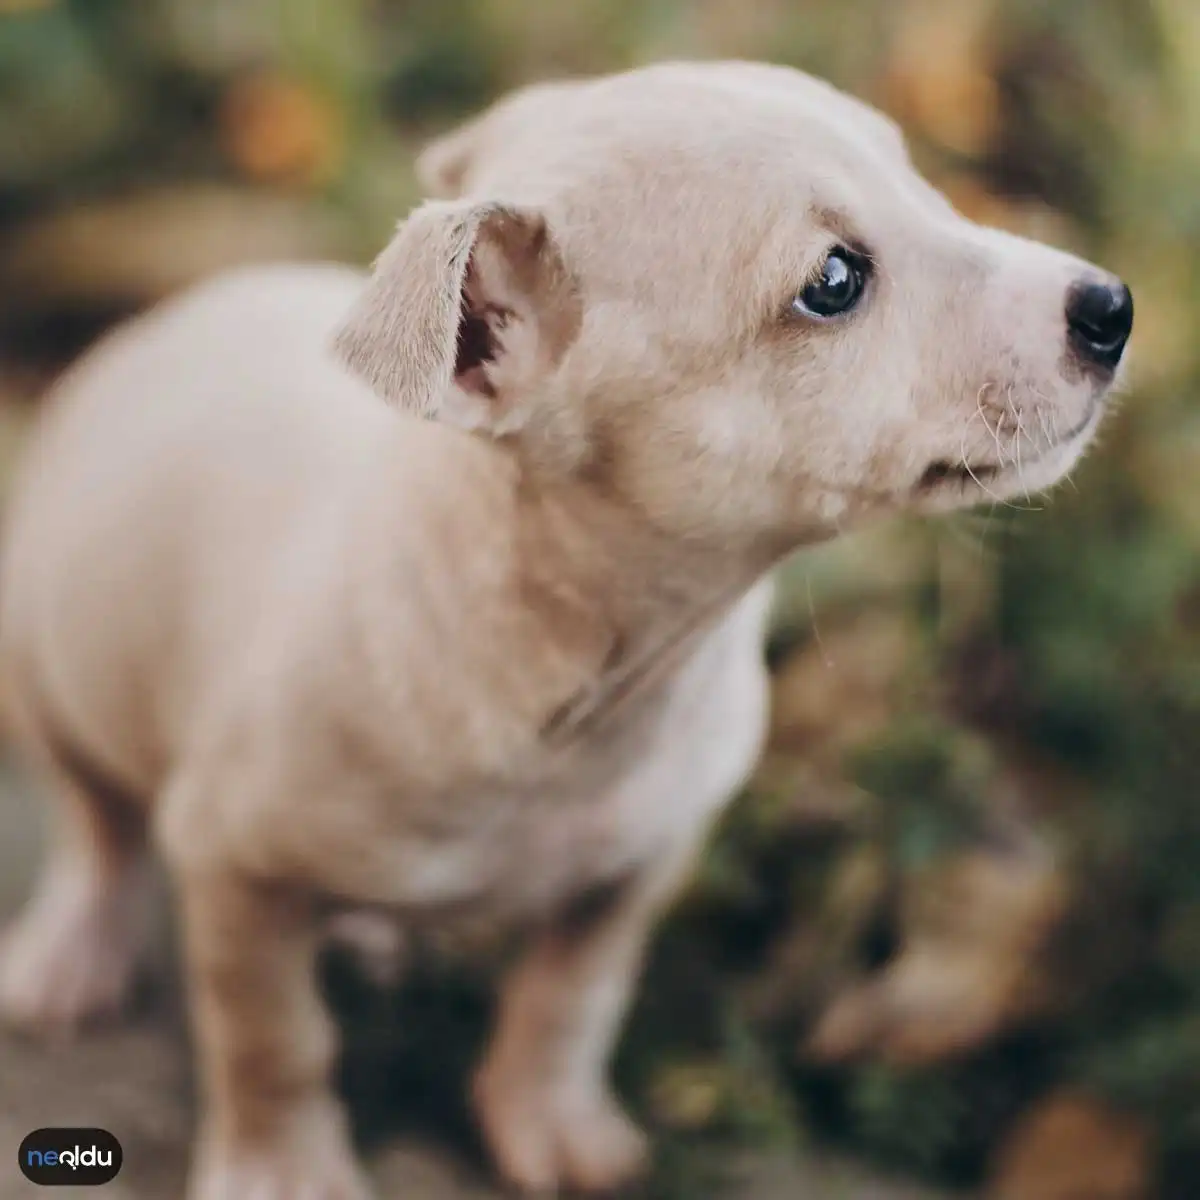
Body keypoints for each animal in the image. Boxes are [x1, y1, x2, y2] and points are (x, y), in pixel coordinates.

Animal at [0, 60, 1128, 1195]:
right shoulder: (231, 869)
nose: (1112, 307)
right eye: (835, 282)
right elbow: (274, 1038)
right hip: (43, 664)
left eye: (922, 183)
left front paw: (547, 1122)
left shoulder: (638, 865)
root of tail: (174, 315)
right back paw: (70, 953)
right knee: (95, 824)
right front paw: (283, 1168)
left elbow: (571, 1002)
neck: (588, 670)